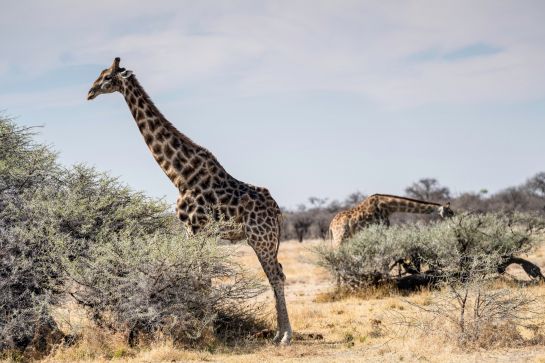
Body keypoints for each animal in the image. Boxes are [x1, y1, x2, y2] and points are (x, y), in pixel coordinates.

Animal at [88, 58, 294, 346]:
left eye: (107, 77)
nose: (90, 92)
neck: (180, 174)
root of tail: (277, 211)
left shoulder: (194, 228)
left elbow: (200, 279)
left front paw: (204, 331)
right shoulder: (197, 232)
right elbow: (202, 278)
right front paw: (204, 327)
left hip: (260, 238)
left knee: (275, 275)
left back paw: (285, 336)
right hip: (267, 240)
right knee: (278, 272)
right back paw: (278, 333)